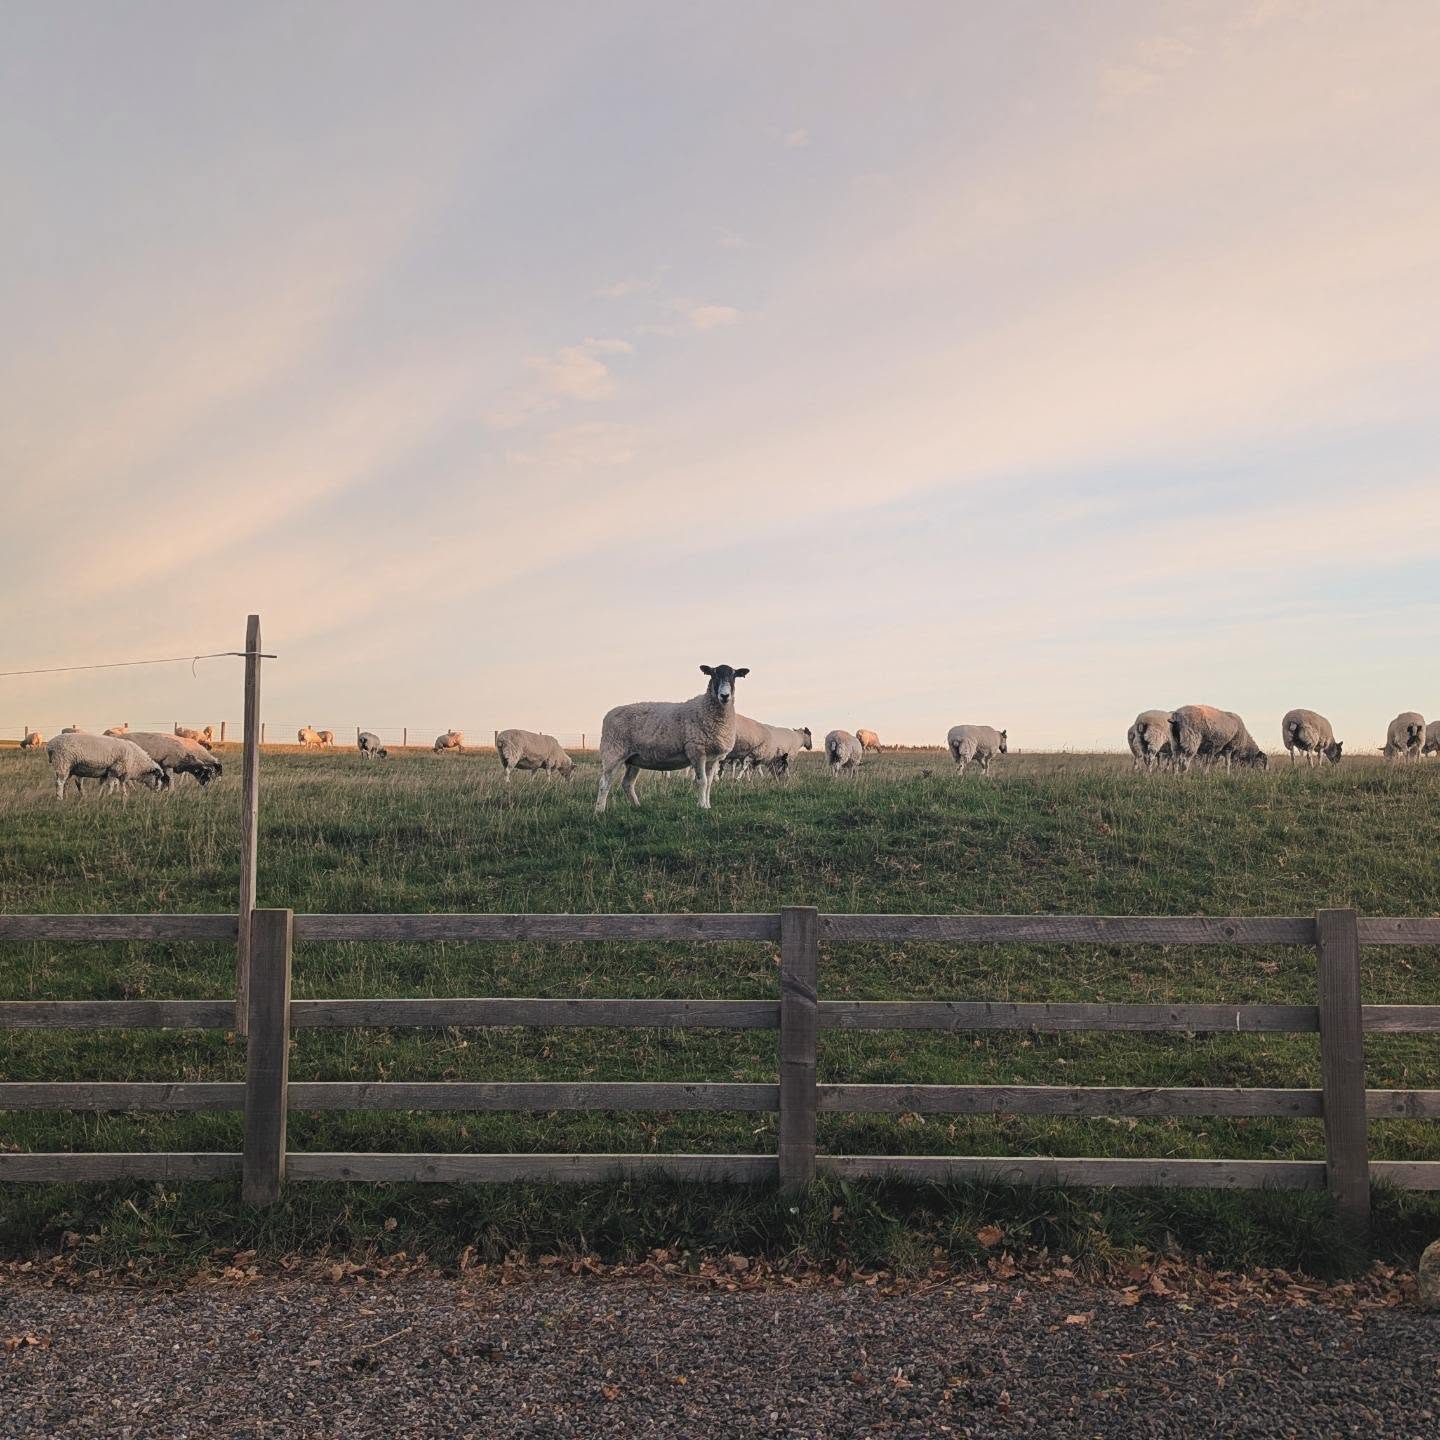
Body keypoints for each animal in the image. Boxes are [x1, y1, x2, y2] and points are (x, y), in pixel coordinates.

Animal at [595, 663, 749, 813]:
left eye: (734, 676)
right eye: (713, 674)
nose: (724, 696)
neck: (706, 709)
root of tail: (608, 715)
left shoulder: (713, 757)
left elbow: (709, 783)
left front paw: (707, 806)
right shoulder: (696, 750)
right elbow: (702, 781)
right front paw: (701, 807)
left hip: (633, 759)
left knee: (627, 783)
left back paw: (637, 806)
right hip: (613, 752)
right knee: (604, 783)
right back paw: (599, 811)